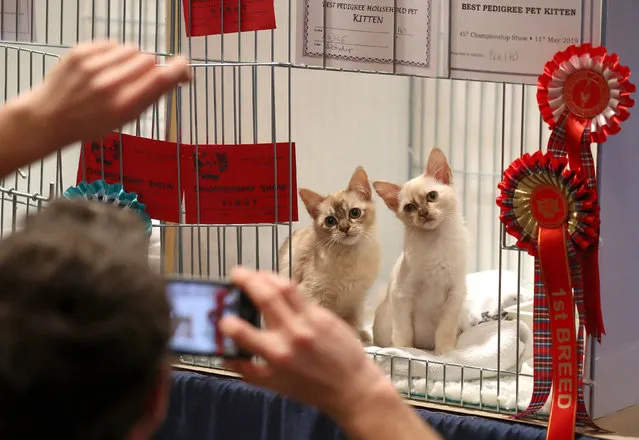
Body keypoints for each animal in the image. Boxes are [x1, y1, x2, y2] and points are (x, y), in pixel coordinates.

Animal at [276, 167, 378, 342]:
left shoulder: (354, 300)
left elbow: (351, 324)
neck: (349, 257)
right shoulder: (314, 297)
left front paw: (354, 339)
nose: (344, 228)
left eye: (354, 213)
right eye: (330, 221)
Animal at [370, 148, 470, 354]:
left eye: (432, 196)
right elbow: (404, 332)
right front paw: (404, 352)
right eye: (410, 207)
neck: (435, 242)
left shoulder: (455, 294)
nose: (423, 213)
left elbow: (444, 331)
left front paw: (445, 352)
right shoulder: (402, 294)